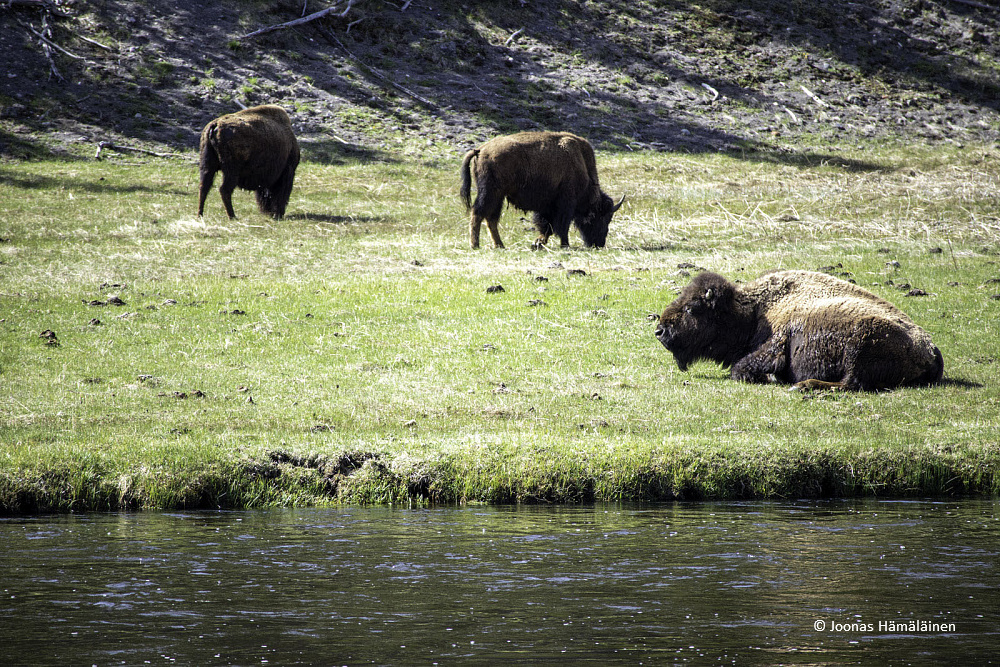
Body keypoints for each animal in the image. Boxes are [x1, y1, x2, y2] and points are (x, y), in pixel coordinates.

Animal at [460, 132, 624, 250]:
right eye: (602, 217)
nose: (599, 244)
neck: (581, 164)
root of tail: (480, 150)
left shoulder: (548, 205)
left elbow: (546, 226)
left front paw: (538, 243)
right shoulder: (566, 203)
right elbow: (561, 225)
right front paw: (565, 244)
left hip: (498, 196)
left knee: (491, 218)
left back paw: (499, 245)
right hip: (490, 193)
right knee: (478, 213)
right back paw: (475, 245)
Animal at [656, 270, 944, 392]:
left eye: (692, 308)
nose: (660, 331)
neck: (754, 310)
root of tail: (930, 352)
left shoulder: (775, 343)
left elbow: (741, 368)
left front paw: (772, 378)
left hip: (862, 343)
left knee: (851, 383)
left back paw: (803, 386)